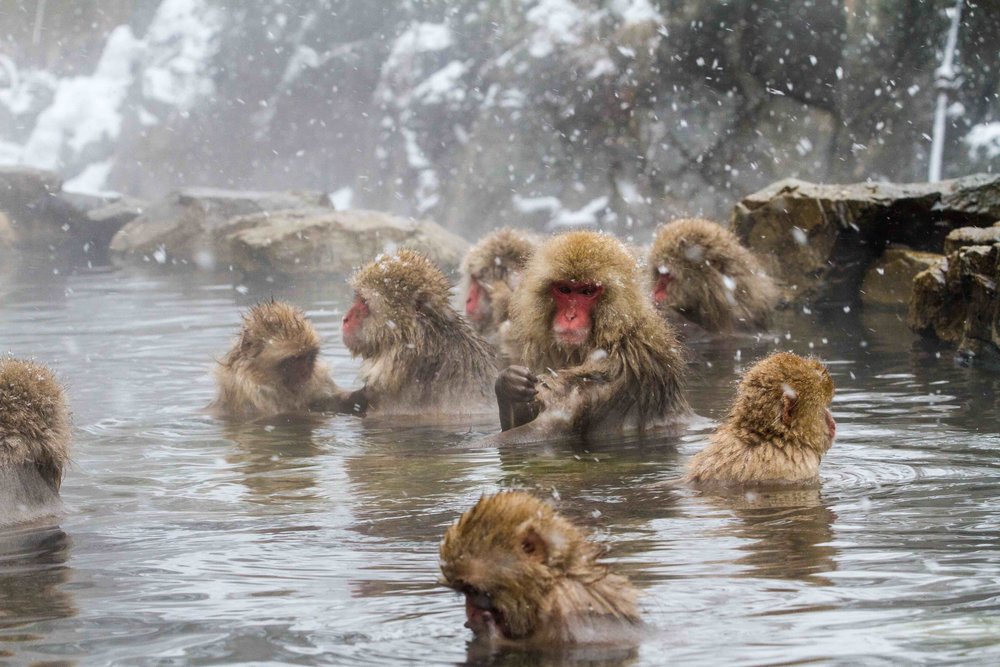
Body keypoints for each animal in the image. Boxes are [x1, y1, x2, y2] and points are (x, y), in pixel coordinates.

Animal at [491, 230, 689, 442]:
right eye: (564, 289)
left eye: (587, 291)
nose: (570, 316)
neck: (614, 334)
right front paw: (509, 385)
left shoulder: (614, 370)